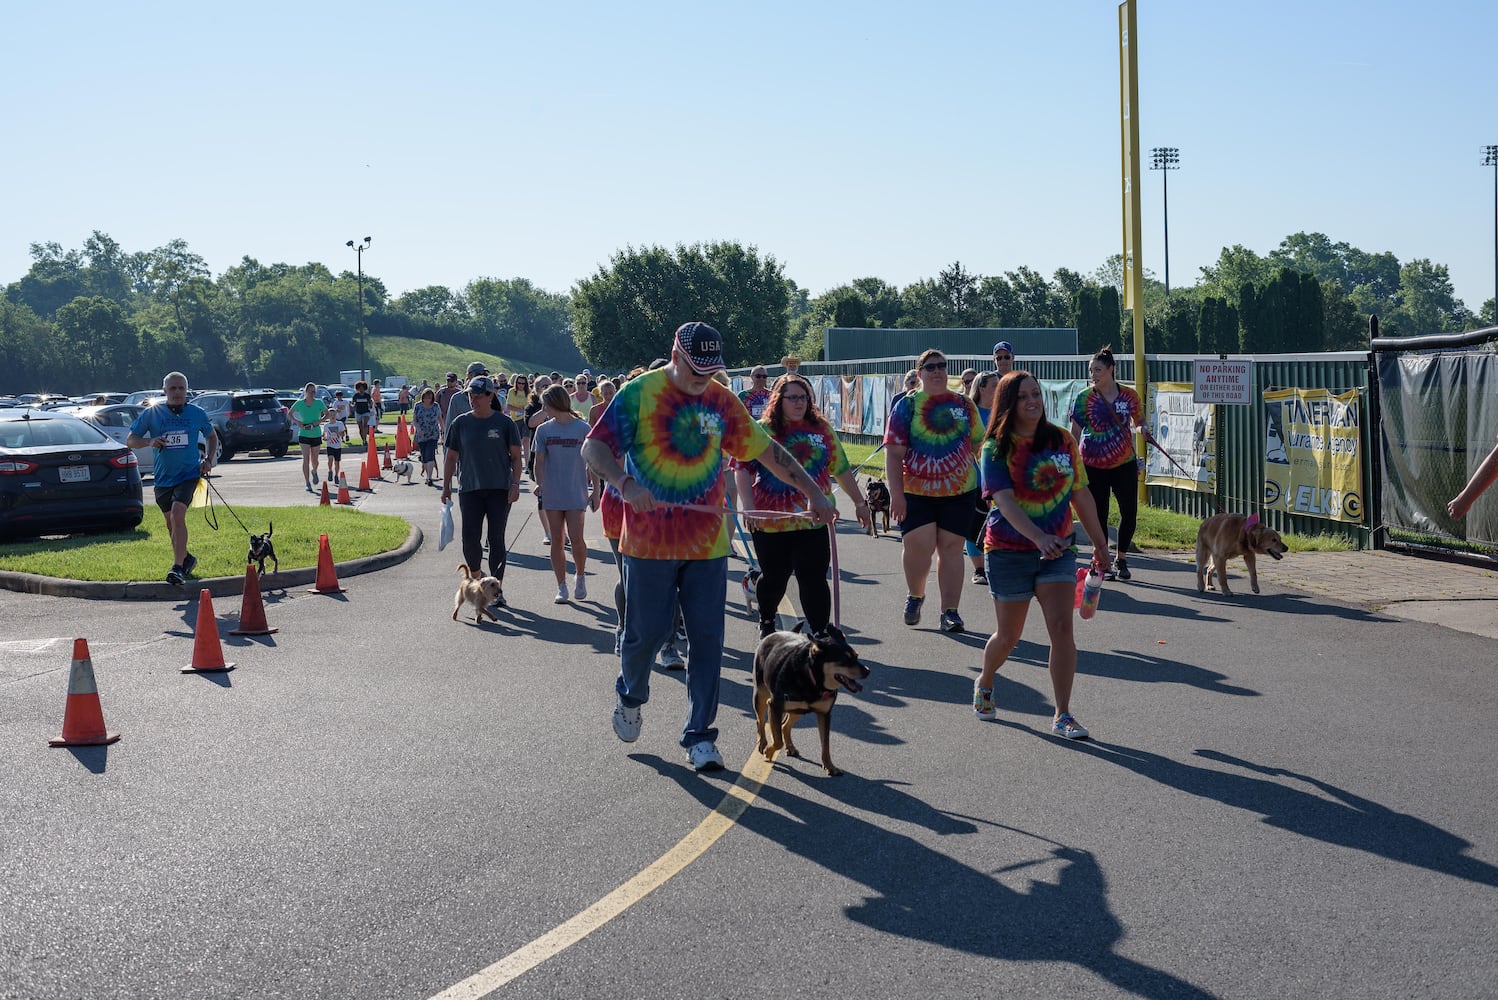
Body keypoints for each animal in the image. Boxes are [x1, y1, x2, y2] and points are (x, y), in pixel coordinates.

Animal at [754, 619, 874, 778]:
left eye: (856, 656)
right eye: (845, 660)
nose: (868, 671)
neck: (813, 678)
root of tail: (775, 633)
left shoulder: (825, 714)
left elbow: (826, 744)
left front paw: (830, 766)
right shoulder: (774, 706)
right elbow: (777, 740)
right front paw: (769, 751)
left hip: (798, 710)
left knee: (785, 725)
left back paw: (790, 747)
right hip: (761, 696)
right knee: (760, 721)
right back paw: (762, 743)